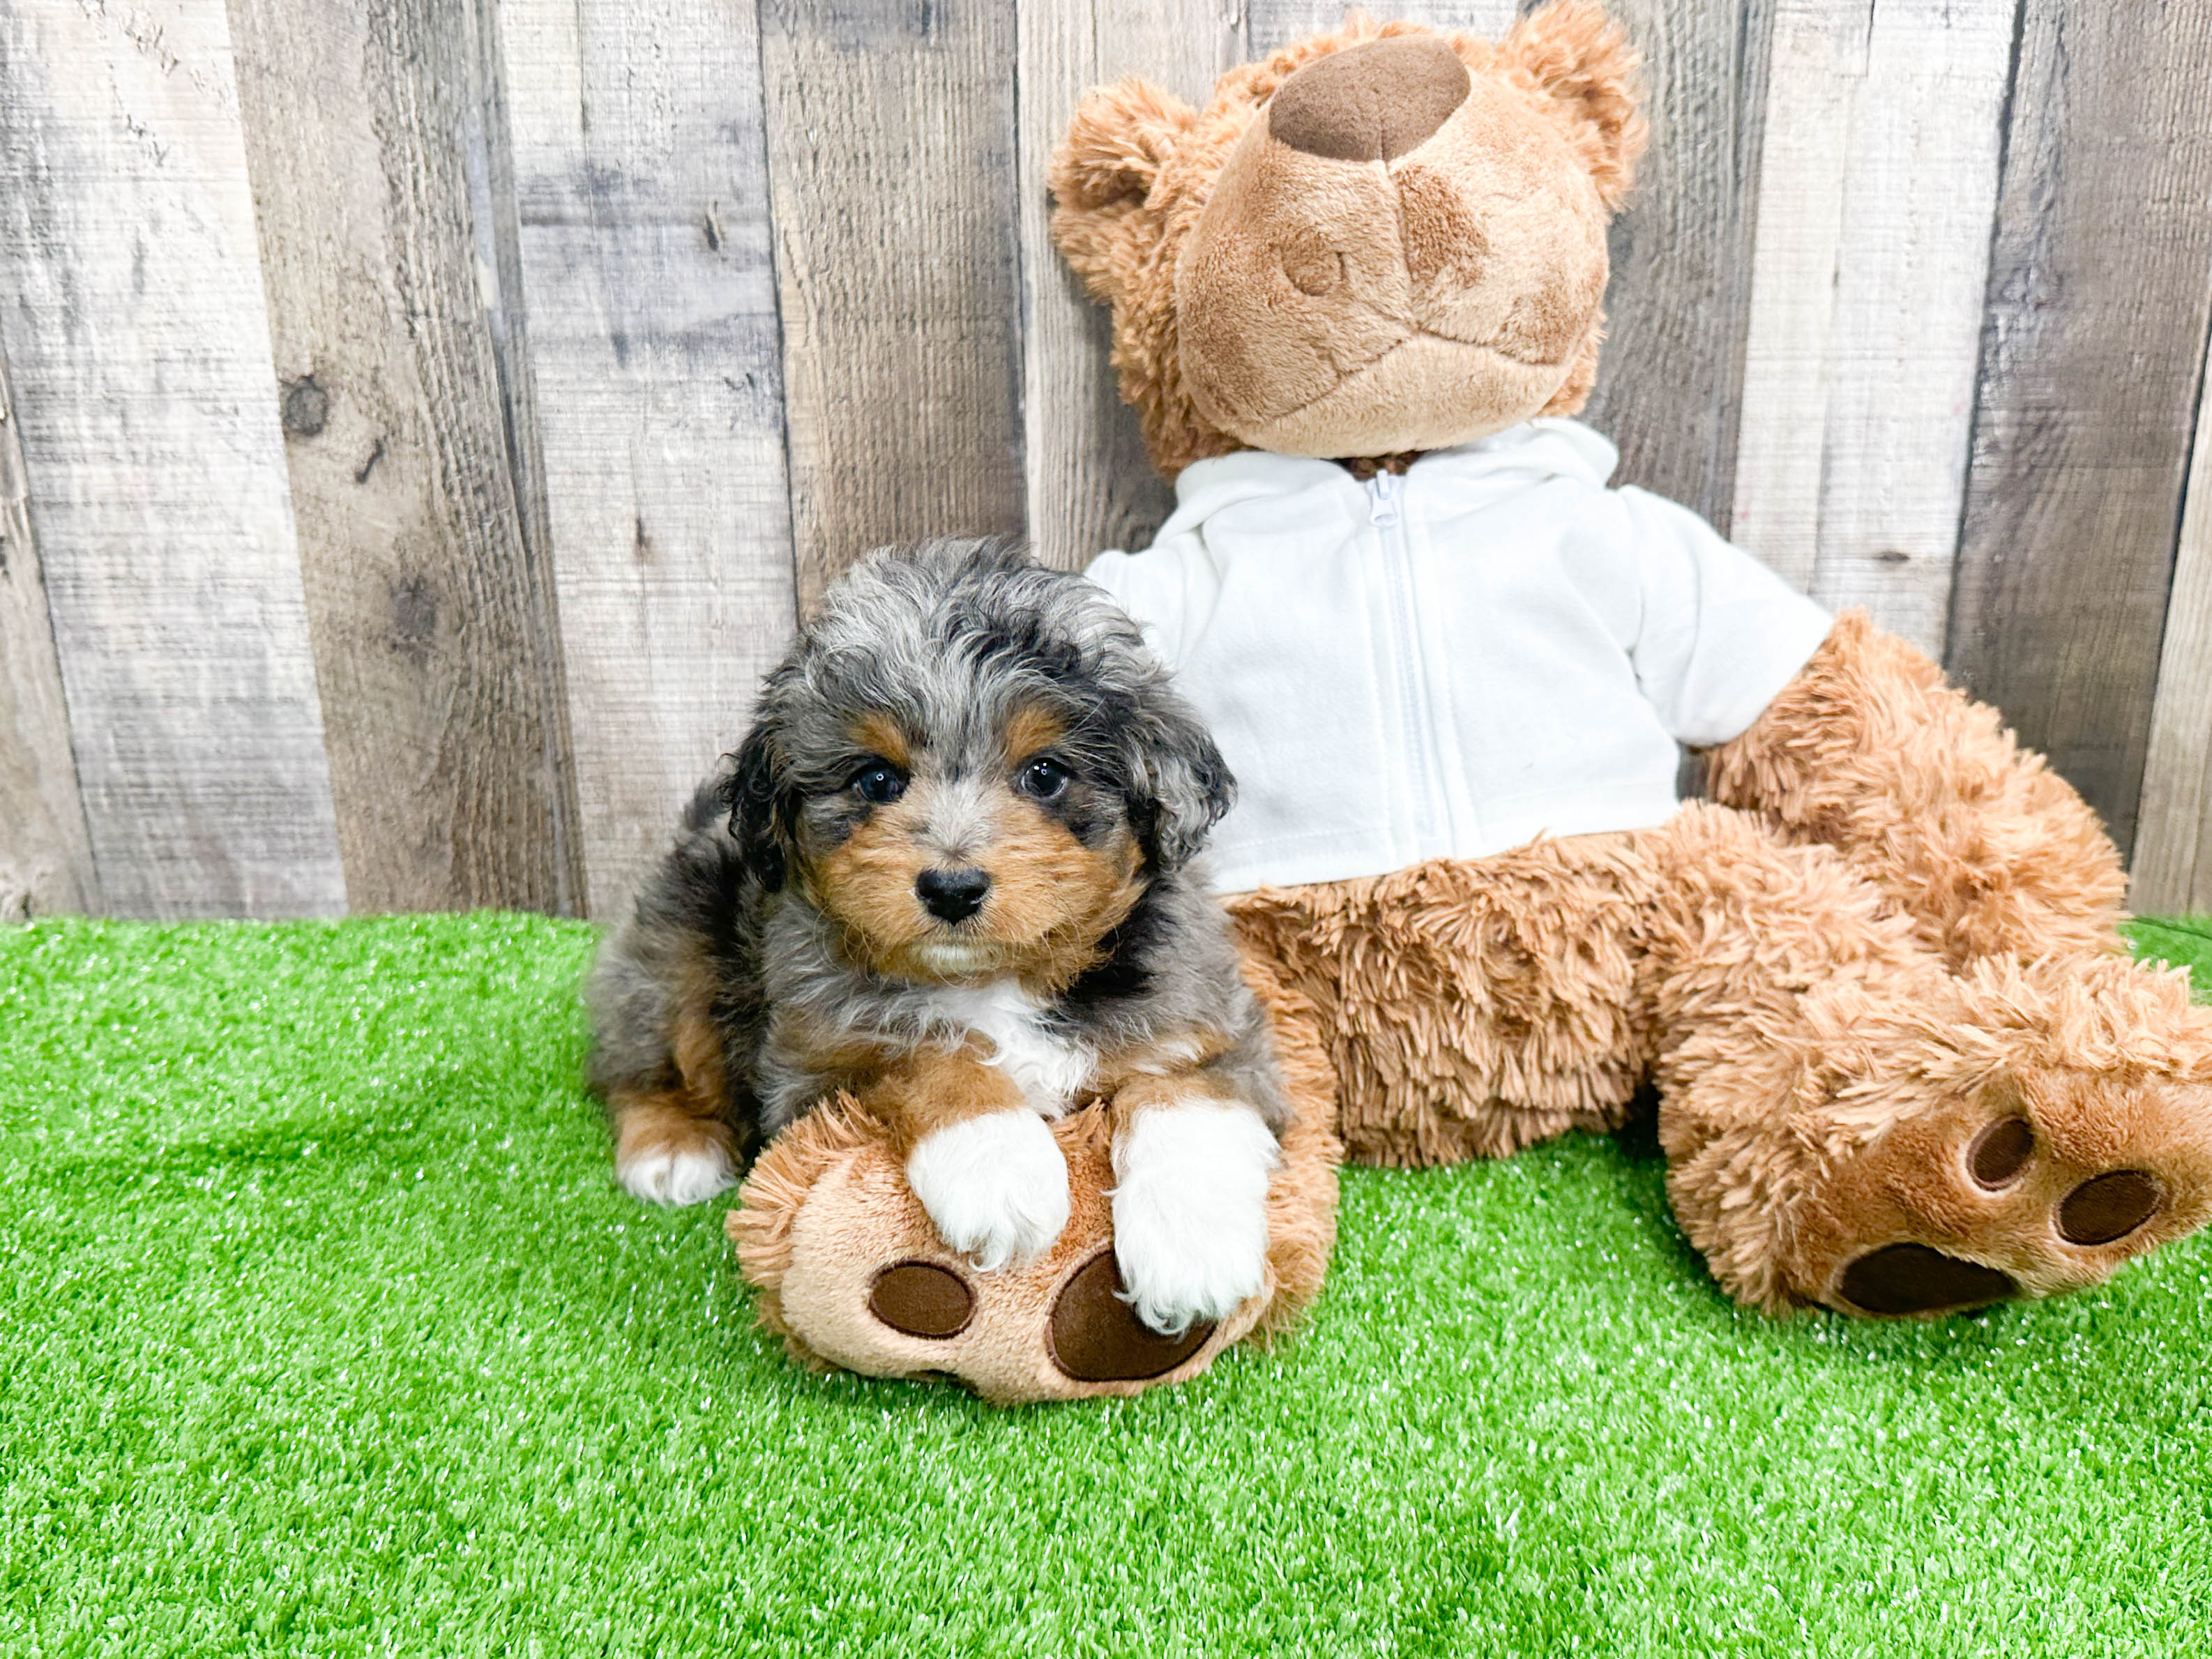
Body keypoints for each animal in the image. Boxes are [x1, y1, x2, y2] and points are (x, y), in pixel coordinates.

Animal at [588, 539, 1291, 1335]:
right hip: (676, 952)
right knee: (640, 1062)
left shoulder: (1206, 1017)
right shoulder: (815, 1054)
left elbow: (1189, 1097)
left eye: (1045, 774)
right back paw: (671, 1149)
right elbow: (926, 1050)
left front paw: (1194, 1252)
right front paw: (1000, 1168)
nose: (952, 889)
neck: (997, 977)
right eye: (875, 780)